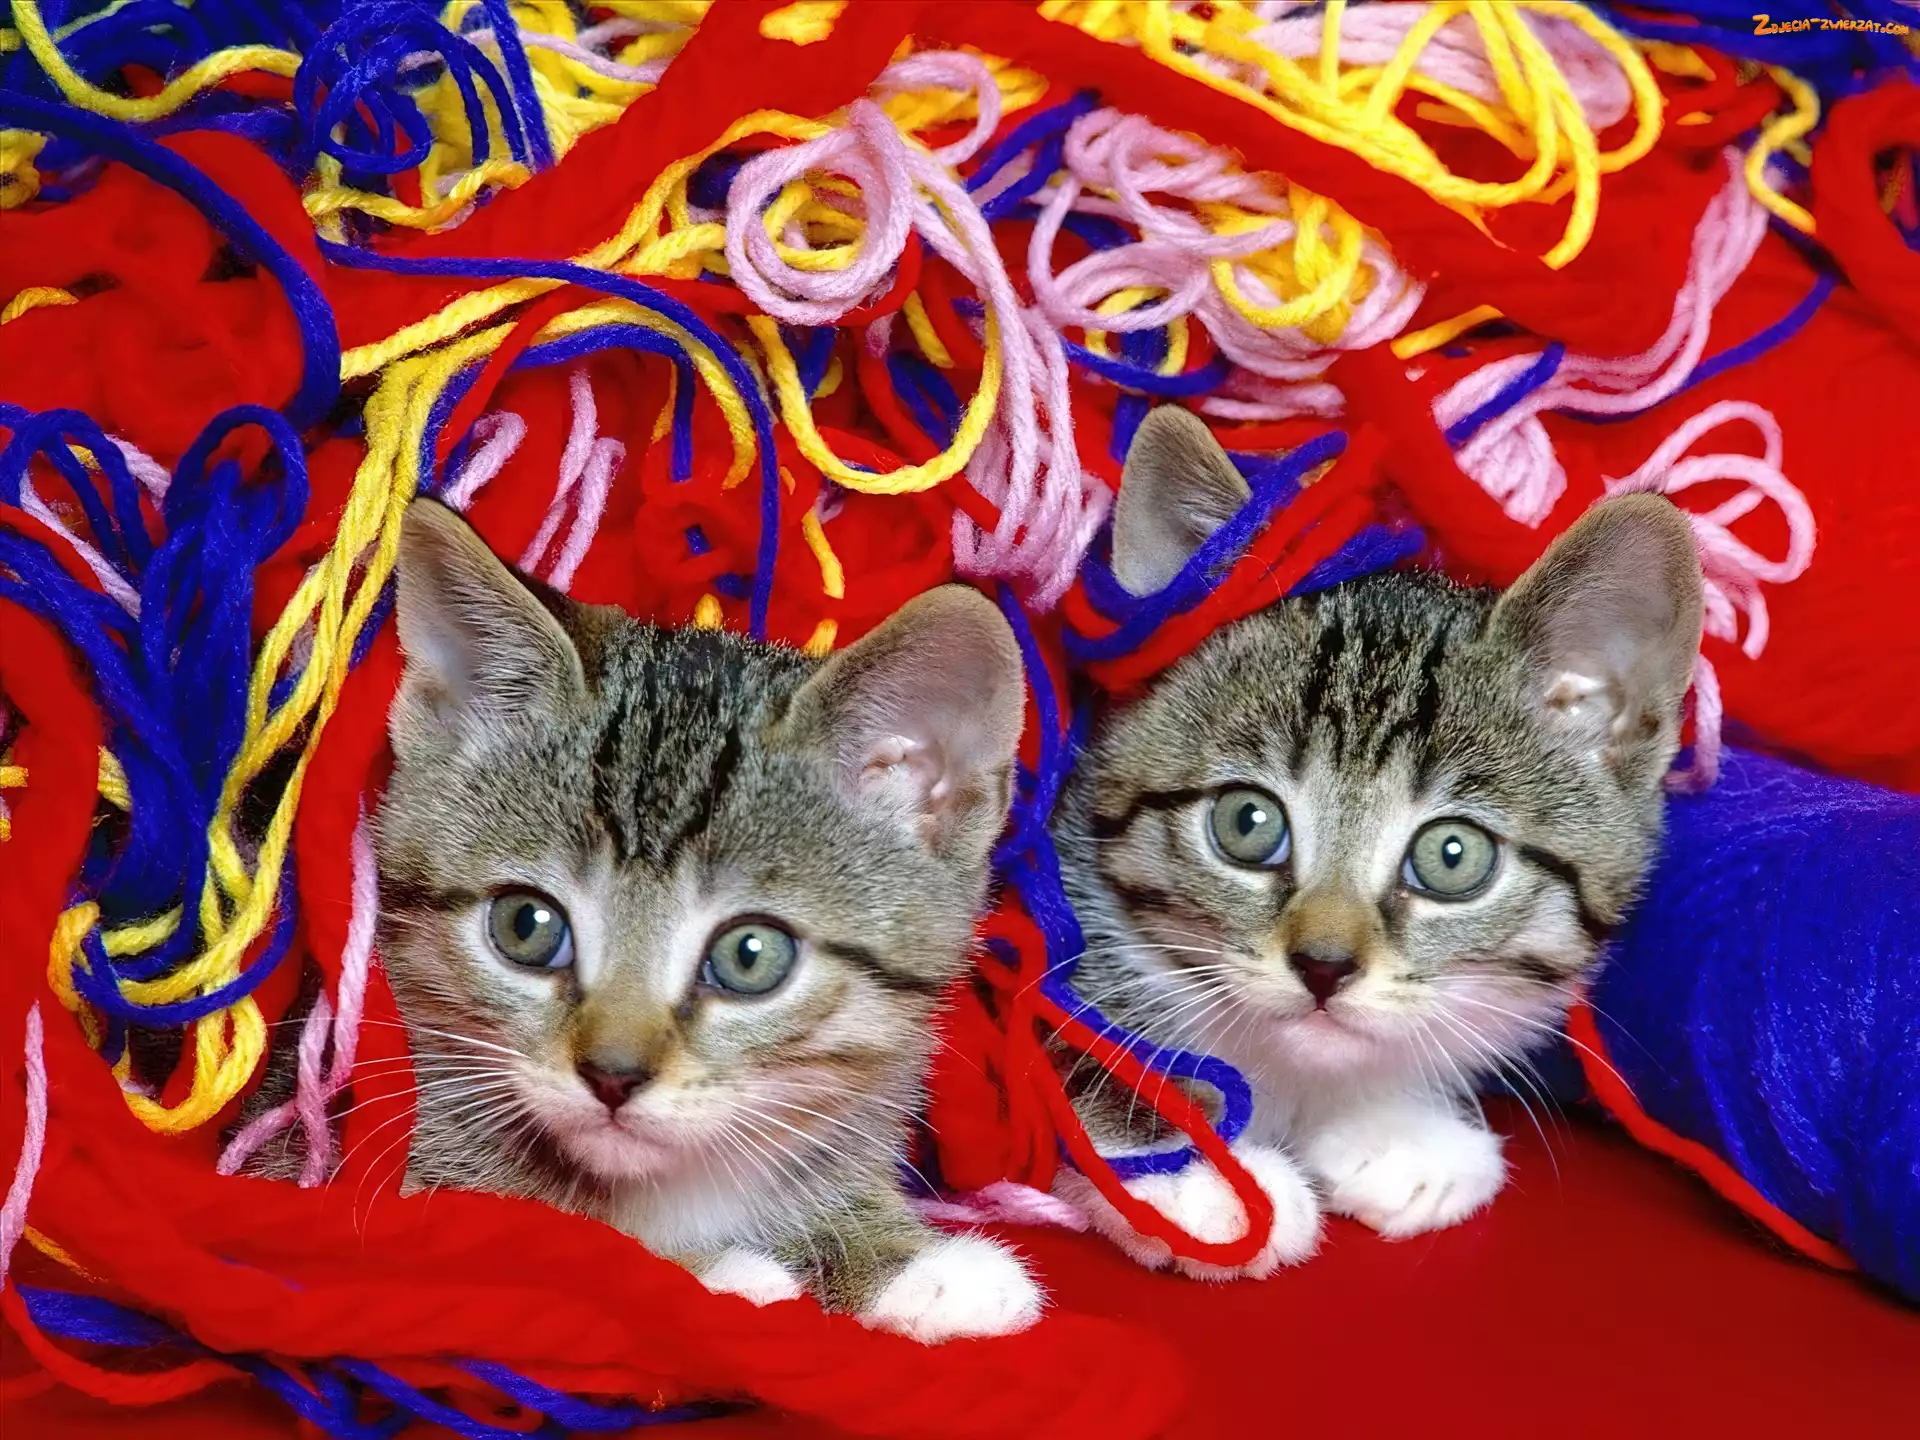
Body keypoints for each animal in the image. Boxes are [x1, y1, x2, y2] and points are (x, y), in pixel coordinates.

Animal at [371, 498, 1041, 1342]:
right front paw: (711, 1271)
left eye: (750, 955)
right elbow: (532, 1224)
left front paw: (906, 1260)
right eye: (527, 926)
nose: (612, 1076)